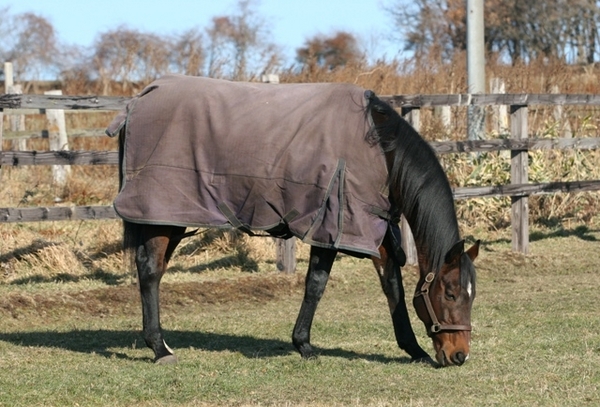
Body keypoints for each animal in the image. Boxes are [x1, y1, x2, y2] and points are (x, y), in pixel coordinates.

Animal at [108, 74, 480, 370]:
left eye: (471, 294)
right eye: (450, 293)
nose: (459, 355)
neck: (379, 150)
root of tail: (141, 98)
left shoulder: (370, 228)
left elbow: (393, 287)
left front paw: (413, 349)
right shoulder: (332, 226)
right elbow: (315, 284)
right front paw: (304, 344)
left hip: (169, 217)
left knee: (154, 269)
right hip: (163, 215)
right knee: (150, 271)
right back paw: (159, 349)